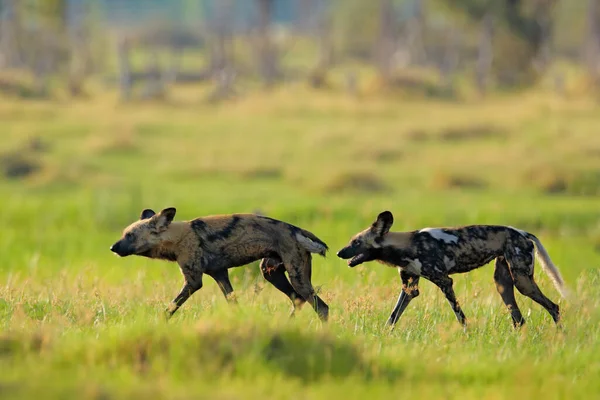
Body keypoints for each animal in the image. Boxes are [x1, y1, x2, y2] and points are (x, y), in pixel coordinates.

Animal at [110, 208, 330, 320]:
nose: (112, 247)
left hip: (297, 277)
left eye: (130, 235)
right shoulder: (220, 274)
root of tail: (296, 229)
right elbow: (233, 303)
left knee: (322, 308)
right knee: (298, 300)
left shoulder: (193, 282)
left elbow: (170, 308)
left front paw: (158, 322)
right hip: (271, 273)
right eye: (124, 233)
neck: (177, 237)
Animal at [338, 211, 568, 326]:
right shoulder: (410, 288)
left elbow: (460, 316)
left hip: (523, 282)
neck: (406, 246)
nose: (340, 252)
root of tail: (522, 232)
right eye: (351, 241)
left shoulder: (444, 282)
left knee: (554, 307)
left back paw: (560, 337)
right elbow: (393, 317)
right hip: (504, 284)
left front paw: (468, 334)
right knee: (519, 319)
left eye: (356, 242)